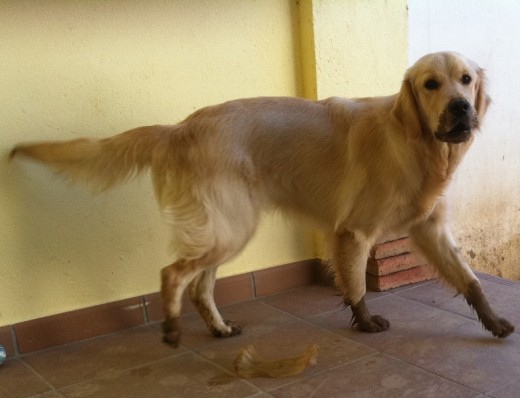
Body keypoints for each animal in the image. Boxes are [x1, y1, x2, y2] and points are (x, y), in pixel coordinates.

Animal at [10, 51, 512, 346]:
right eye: (430, 84)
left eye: (465, 80)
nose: (461, 109)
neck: (416, 143)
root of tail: (179, 128)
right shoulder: (354, 232)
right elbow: (355, 286)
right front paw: (366, 323)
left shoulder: (430, 229)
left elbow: (471, 281)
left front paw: (494, 323)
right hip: (230, 229)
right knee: (173, 274)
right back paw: (171, 328)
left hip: (225, 230)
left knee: (200, 287)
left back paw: (218, 328)